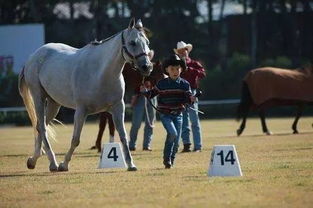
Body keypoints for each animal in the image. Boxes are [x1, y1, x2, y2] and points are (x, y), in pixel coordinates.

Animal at [18, 17, 152, 171]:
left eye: (147, 42)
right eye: (132, 42)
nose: (147, 67)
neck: (100, 73)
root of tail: (33, 57)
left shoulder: (118, 108)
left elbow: (123, 136)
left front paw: (131, 164)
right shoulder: (81, 111)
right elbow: (75, 139)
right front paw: (64, 164)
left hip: (53, 103)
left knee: (40, 127)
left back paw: (33, 160)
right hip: (38, 98)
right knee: (42, 128)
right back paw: (53, 163)